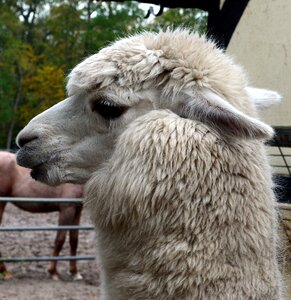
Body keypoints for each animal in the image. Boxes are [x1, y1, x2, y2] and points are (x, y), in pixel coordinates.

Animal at [0, 151, 84, 280]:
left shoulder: (77, 210)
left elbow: (74, 240)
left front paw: (74, 272)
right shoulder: (67, 209)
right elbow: (60, 240)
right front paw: (53, 272)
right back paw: (5, 272)